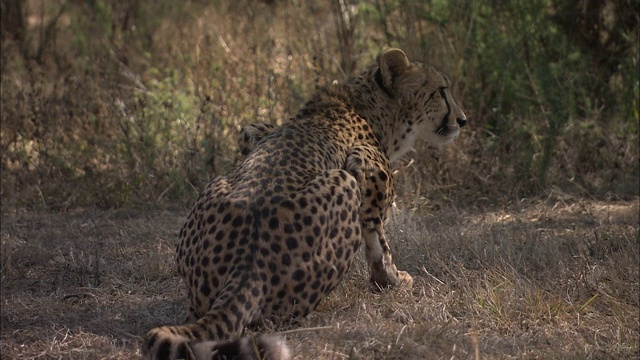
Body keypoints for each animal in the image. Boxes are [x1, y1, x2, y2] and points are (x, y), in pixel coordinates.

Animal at [142, 48, 468, 360]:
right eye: (441, 90)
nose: (462, 120)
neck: (366, 105)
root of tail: (247, 263)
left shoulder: (253, 132)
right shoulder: (367, 169)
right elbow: (378, 240)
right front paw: (392, 280)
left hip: (216, 186)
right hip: (343, 182)